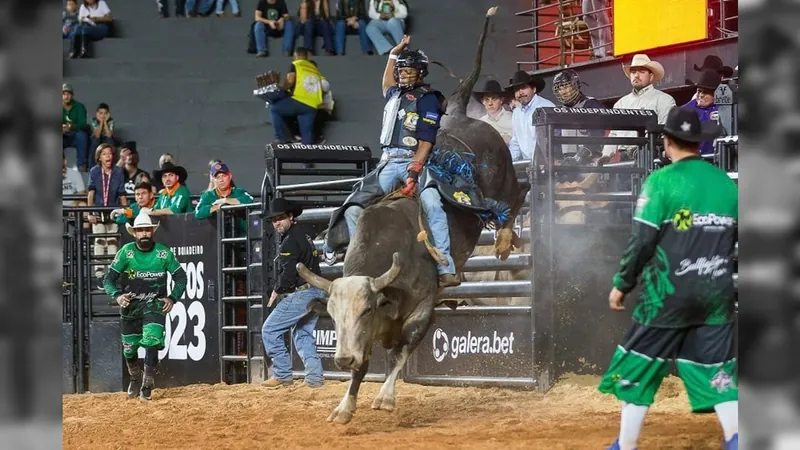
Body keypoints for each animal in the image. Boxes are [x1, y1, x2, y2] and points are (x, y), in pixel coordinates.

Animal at [294, 5, 532, 424]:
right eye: (333, 315)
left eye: (366, 309)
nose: (339, 357)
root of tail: (459, 111)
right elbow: (364, 365)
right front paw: (345, 406)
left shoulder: (424, 308)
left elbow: (403, 349)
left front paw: (386, 397)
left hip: (501, 177)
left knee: (518, 193)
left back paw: (504, 239)